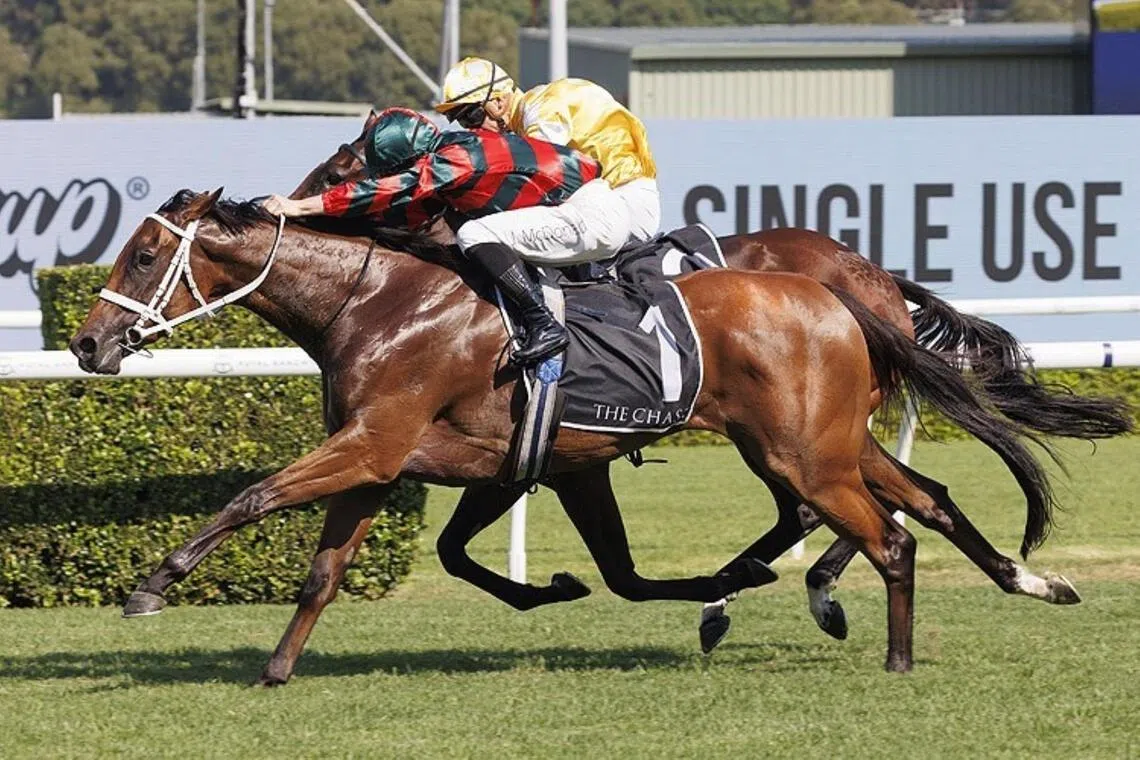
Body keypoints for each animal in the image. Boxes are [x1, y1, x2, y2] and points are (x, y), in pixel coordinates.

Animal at [70, 189, 1059, 684]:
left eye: (146, 255)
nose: (86, 343)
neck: (380, 300)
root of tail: (848, 290)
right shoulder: (432, 461)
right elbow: (331, 570)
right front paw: (276, 669)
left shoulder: (377, 444)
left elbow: (253, 495)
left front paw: (153, 584)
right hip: (826, 443)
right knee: (923, 501)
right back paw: (1028, 581)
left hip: (803, 453)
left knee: (883, 533)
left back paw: (887, 647)